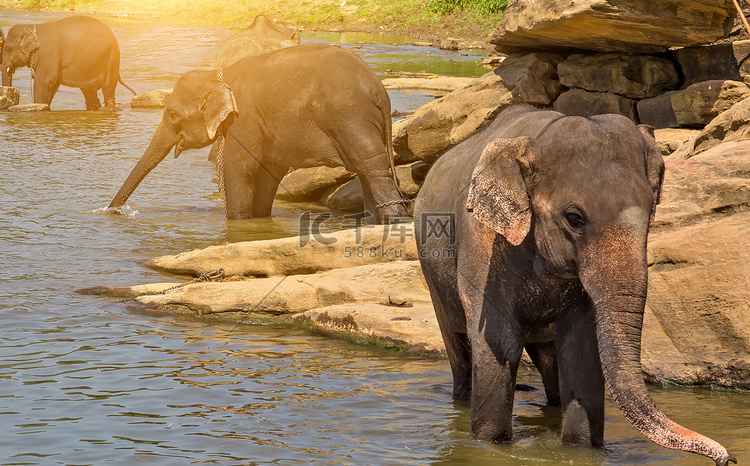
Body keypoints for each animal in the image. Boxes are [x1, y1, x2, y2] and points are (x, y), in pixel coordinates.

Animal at [0, 14, 135, 110]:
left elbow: (44, 83)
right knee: (88, 93)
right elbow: (52, 85)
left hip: (112, 58)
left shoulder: (48, 55)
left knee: (108, 90)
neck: (33, 28)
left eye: (8, 49)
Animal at [108, 44, 408, 224]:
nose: (111, 212)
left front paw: (237, 223)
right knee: (365, 167)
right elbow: (268, 171)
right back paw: (373, 222)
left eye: (172, 115)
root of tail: (379, 90)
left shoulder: (244, 120)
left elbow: (240, 167)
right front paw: (259, 221)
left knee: (370, 163)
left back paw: (394, 220)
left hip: (350, 116)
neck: (218, 76)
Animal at [414, 105, 736, 466]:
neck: (537, 139)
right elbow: (500, 341)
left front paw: (579, 449)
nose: (727, 458)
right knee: (459, 351)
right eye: (574, 218)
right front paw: (491, 447)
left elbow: (580, 347)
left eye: (651, 214)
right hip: (433, 277)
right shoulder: (481, 242)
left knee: (548, 361)